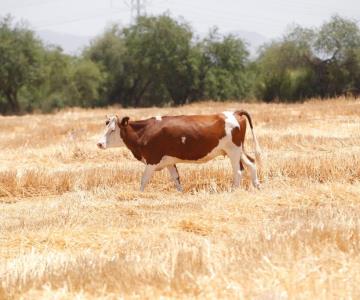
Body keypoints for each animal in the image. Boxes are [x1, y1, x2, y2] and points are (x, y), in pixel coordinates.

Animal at [96, 110, 262, 192]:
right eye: (106, 126)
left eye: (112, 130)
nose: (99, 143)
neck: (145, 131)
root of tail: (235, 112)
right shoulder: (169, 161)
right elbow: (176, 179)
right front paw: (180, 193)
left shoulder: (152, 160)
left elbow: (144, 180)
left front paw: (139, 195)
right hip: (239, 150)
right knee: (251, 164)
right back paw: (257, 187)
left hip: (233, 151)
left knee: (238, 171)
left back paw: (233, 191)